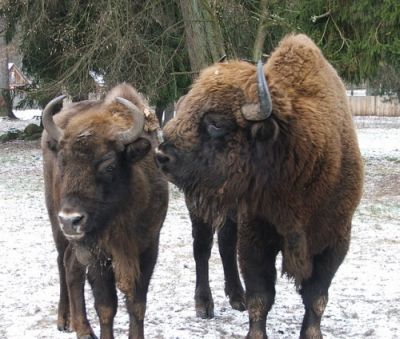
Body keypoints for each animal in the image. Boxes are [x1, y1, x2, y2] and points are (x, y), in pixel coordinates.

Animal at [41, 84, 169, 339]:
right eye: (63, 162)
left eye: (109, 165)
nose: (70, 220)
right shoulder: (98, 255)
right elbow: (106, 307)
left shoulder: (148, 247)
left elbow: (136, 304)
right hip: (56, 223)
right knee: (62, 262)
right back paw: (66, 321)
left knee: (70, 265)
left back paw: (80, 327)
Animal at [156, 32, 362, 339]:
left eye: (216, 123)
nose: (162, 155)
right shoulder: (256, 236)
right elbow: (262, 296)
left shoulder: (335, 240)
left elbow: (316, 296)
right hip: (198, 207)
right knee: (202, 248)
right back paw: (204, 305)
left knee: (224, 243)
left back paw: (236, 297)